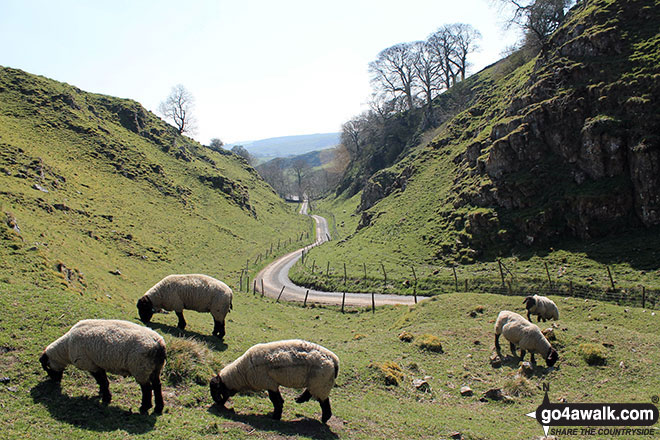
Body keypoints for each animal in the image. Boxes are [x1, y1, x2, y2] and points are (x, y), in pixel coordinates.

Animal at [38, 318, 166, 414]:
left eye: (47, 367)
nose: (55, 381)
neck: (66, 349)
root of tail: (158, 344)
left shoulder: (90, 364)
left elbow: (103, 381)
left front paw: (106, 398)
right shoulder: (97, 364)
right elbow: (102, 381)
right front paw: (102, 393)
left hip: (140, 367)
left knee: (147, 388)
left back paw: (145, 407)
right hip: (155, 368)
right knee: (157, 386)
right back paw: (158, 408)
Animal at [209, 340, 338, 422]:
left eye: (216, 390)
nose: (217, 403)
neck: (241, 373)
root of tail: (334, 360)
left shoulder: (269, 383)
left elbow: (275, 400)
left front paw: (276, 416)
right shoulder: (272, 384)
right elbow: (278, 400)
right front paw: (277, 414)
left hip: (321, 382)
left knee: (324, 401)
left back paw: (324, 418)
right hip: (318, 382)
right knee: (313, 392)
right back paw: (300, 399)